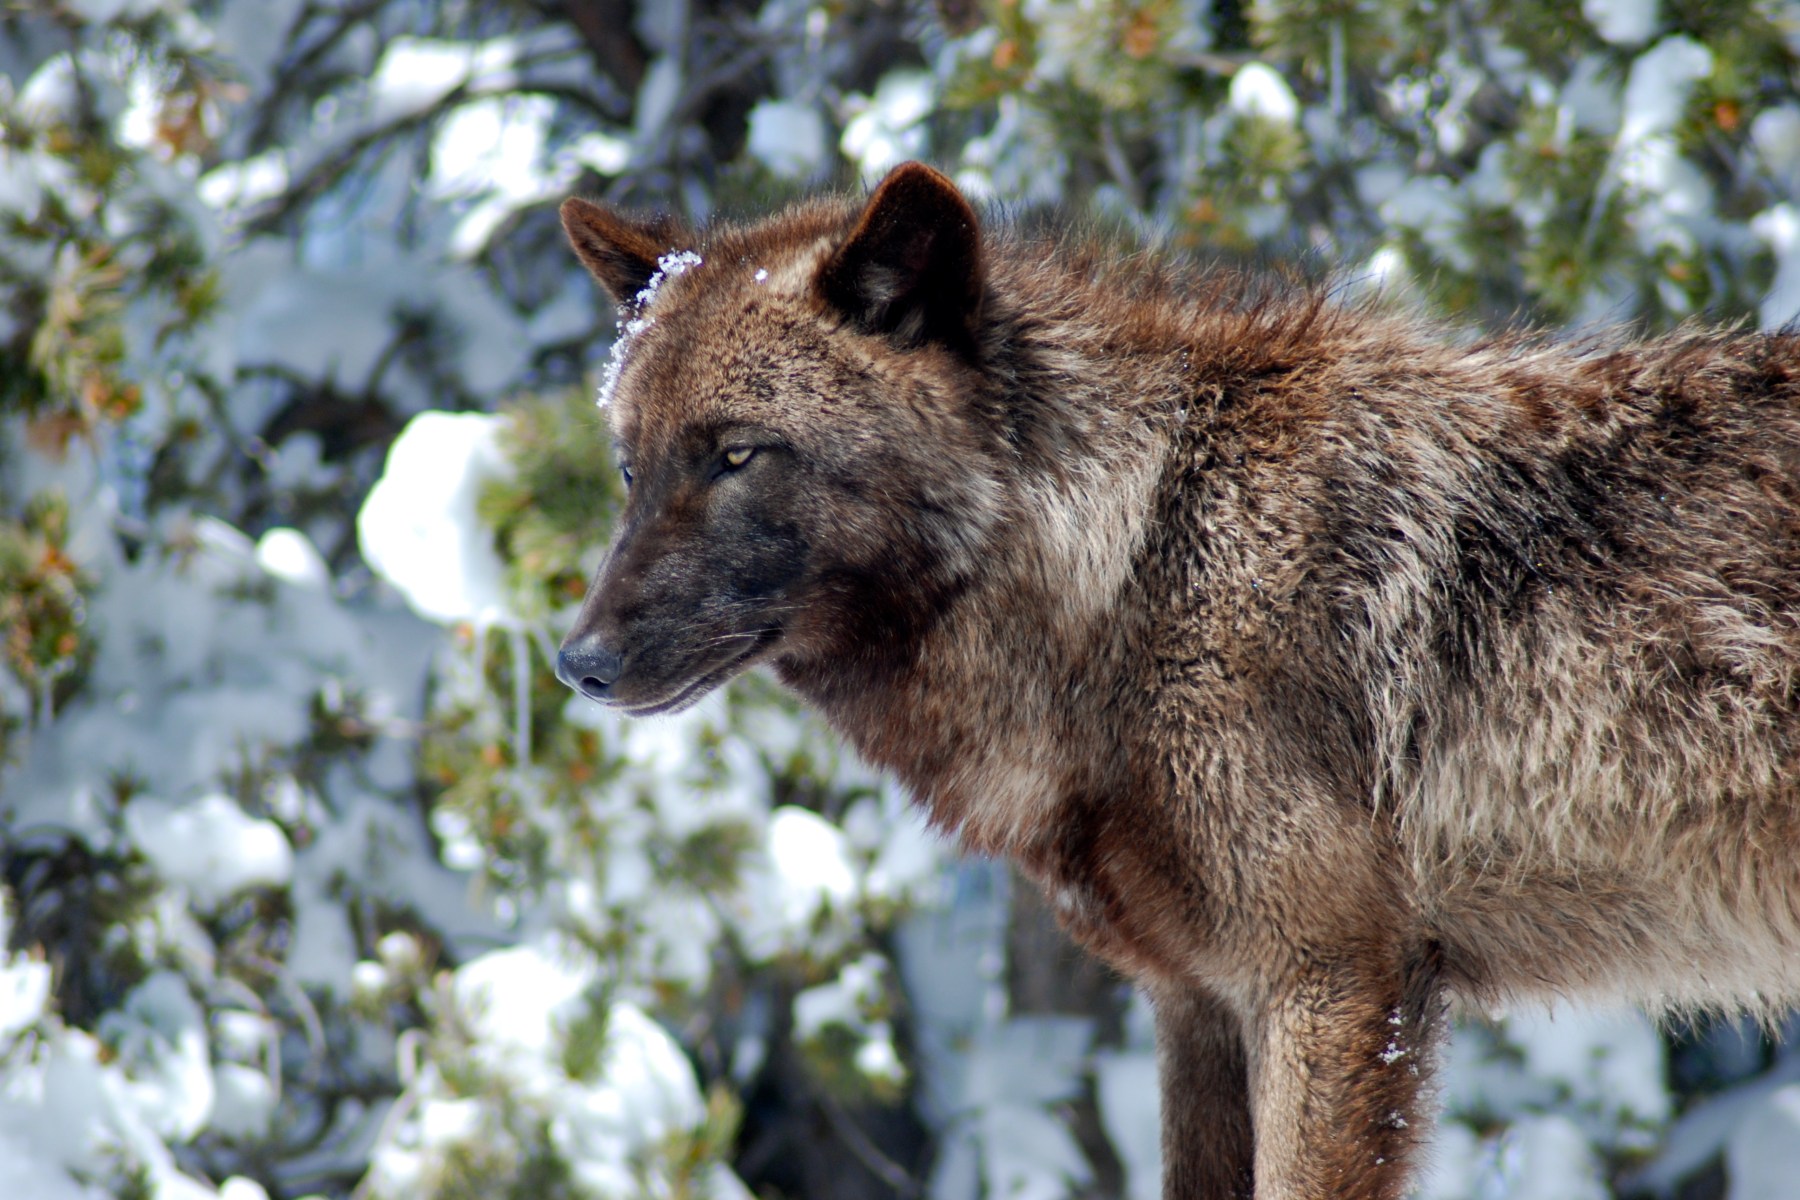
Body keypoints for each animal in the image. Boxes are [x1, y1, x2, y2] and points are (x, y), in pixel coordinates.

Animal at [553, 161, 1800, 1199]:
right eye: (629, 466)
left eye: (738, 454)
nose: (579, 664)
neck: (1140, 563)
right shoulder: (1195, 1003)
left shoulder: (1332, 986)